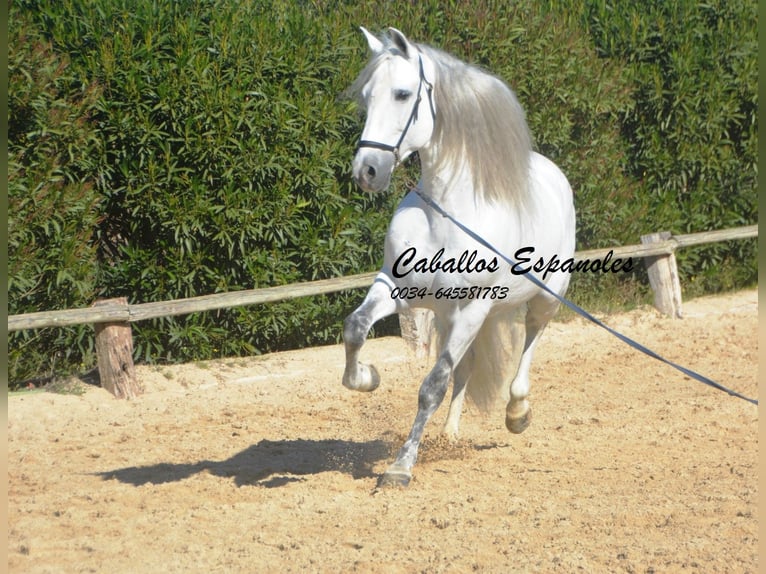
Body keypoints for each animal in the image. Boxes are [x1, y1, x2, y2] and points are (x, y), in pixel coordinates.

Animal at [344, 24, 576, 488]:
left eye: (402, 94)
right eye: (366, 96)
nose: (367, 172)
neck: (446, 213)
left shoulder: (474, 306)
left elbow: (431, 385)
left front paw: (400, 466)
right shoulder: (396, 288)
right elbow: (355, 328)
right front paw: (365, 377)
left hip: (542, 299)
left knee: (529, 341)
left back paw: (517, 413)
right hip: (452, 317)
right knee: (465, 369)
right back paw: (450, 433)